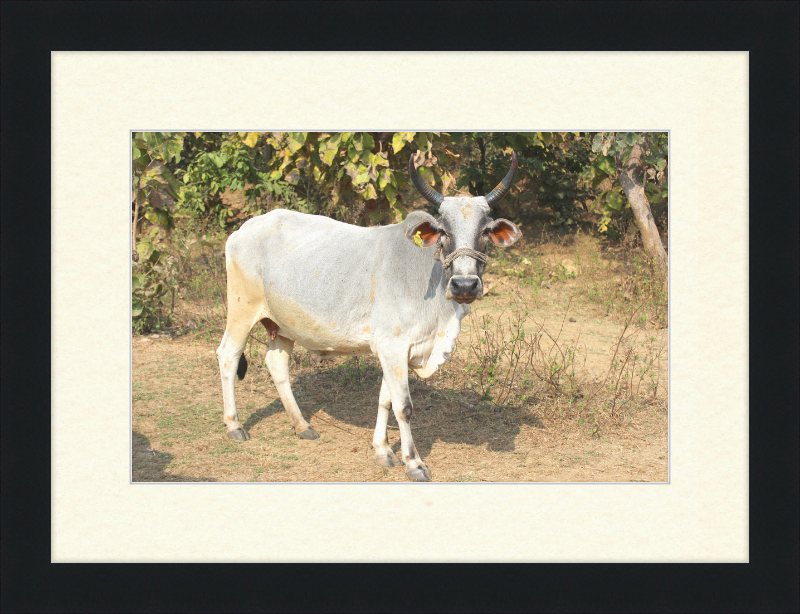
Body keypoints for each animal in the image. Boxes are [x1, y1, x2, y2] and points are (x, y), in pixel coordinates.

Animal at [216, 149, 520, 482]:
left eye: (485, 231)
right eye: (443, 231)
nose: (465, 285)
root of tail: (244, 229)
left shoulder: (396, 350)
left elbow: (385, 400)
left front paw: (383, 451)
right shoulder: (393, 346)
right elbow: (404, 407)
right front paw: (413, 462)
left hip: (283, 325)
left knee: (276, 365)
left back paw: (302, 425)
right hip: (242, 310)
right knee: (228, 355)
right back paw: (234, 425)